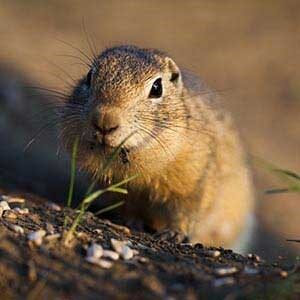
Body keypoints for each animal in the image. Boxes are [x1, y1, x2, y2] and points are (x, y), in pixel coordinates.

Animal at [59, 45, 254, 251]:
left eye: (156, 88)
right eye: (89, 76)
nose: (104, 120)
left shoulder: (195, 181)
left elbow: (186, 211)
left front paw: (173, 234)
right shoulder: (116, 188)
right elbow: (128, 206)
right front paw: (132, 222)